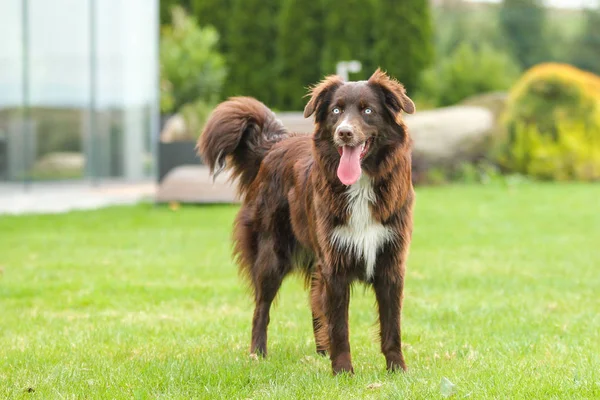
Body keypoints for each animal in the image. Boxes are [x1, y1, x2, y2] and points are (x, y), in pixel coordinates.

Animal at [199, 69, 414, 376]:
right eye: (336, 110)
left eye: (368, 110)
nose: (344, 133)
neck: (361, 185)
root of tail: (275, 145)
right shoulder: (335, 265)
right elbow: (340, 326)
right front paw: (343, 372)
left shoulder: (390, 263)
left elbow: (391, 325)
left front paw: (397, 370)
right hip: (271, 255)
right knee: (261, 308)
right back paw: (257, 354)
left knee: (314, 302)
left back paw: (322, 351)